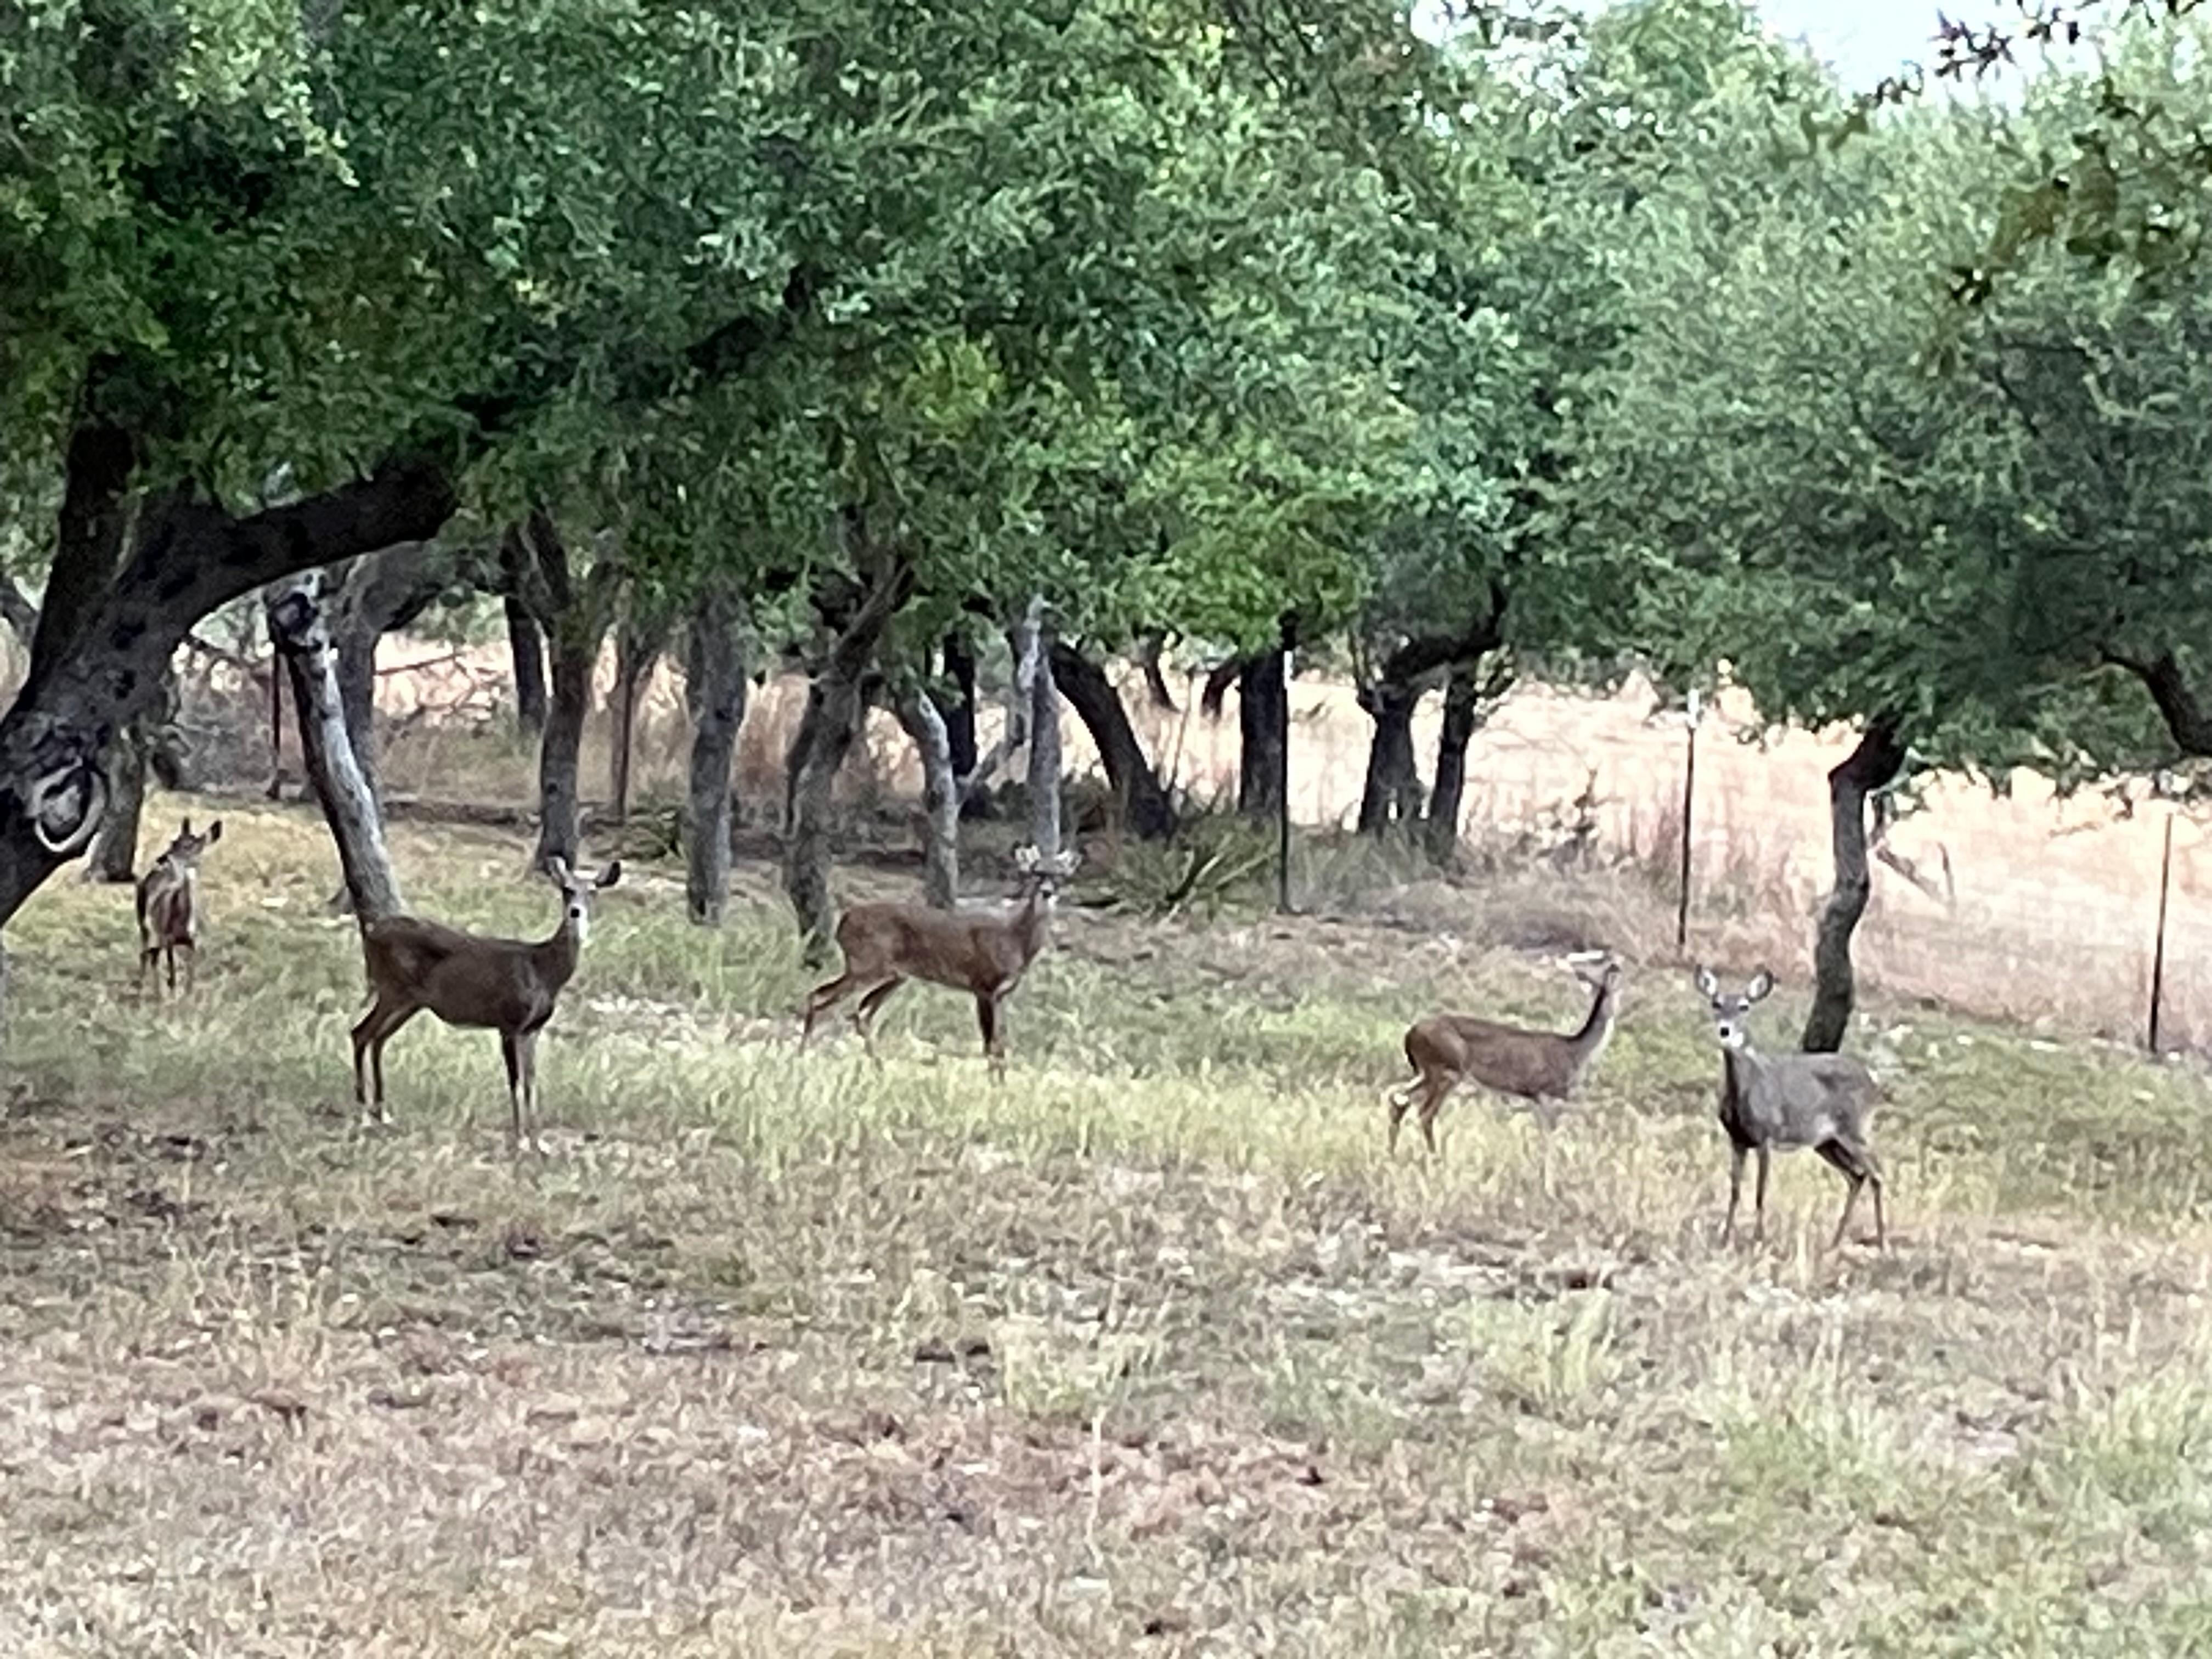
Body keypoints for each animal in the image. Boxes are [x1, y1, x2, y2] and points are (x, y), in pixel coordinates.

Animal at [136, 817, 223, 996]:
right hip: (144, 921)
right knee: (146, 954)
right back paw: (143, 988)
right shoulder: (169, 937)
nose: (162, 859)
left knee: (154, 956)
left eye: (189, 846)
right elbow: (174, 977)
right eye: (173, 842)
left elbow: (190, 979)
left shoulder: (195, 941)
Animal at [351, 857, 622, 1150]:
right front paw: (520, 1140)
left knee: (378, 1039)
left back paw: (383, 1113)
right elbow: (515, 1081)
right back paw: (364, 1115)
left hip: (409, 1001)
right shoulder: (509, 1023)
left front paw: (540, 1143)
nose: (575, 912)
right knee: (361, 1033)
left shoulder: (533, 1029)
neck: (543, 972)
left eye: (593, 891)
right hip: (392, 989)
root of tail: (371, 934)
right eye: (567, 890)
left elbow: (532, 1082)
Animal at [801, 844, 1080, 1071]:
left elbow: (1000, 1046)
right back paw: (802, 1057)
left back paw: (878, 1069)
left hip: (895, 974)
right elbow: (990, 1047)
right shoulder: (983, 986)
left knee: (862, 1013)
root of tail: (843, 922)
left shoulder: (1001, 994)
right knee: (821, 996)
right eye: (1036, 872)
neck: (1015, 940)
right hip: (867, 964)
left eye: (1061, 876)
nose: (1047, 892)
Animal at [1385, 952, 1623, 1155]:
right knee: (1424, 1112)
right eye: (1601, 959)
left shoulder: (1539, 1099)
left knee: (1398, 1098)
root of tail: (1410, 1035)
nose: (1617, 965)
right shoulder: (1546, 1093)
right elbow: (1552, 1139)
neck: (1577, 1053)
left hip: (1426, 1071)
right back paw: (1436, 1160)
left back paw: (1393, 1155)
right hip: (1447, 1068)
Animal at [1694, 966, 1887, 1250]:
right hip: (1827, 1143)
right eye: (1716, 1003)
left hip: (1855, 1129)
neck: (1746, 1093)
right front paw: (1725, 1239)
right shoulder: (1737, 1140)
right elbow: (1735, 1191)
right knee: (1856, 1176)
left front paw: (1757, 1240)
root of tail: (1874, 1084)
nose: (1725, 1031)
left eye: (1744, 1006)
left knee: (1876, 1174)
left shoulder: (1765, 1136)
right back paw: (1834, 1243)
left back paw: (1882, 1243)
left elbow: (1760, 1192)